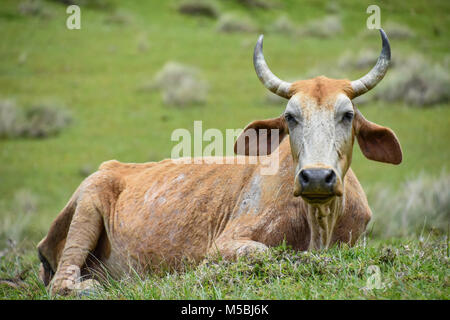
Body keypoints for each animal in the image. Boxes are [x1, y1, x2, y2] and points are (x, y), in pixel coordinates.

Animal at [37, 29, 400, 296]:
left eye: (347, 115)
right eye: (290, 116)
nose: (316, 177)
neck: (319, 221)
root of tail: (108, 168)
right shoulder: (225, 243)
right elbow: (267, 252)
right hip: (87, 208)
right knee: (62, 283)